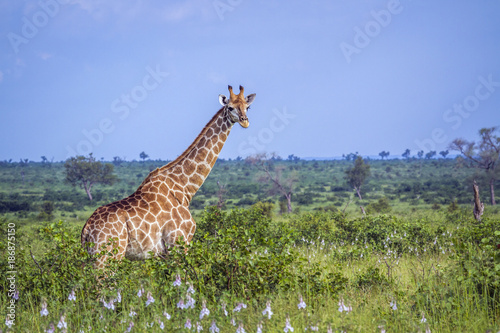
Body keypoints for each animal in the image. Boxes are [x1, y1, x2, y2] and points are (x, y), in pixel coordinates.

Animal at [81, 85, 258, 268]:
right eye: (230, 107)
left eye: (248, 106)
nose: (245, 121)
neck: (185, 186)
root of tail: (86, 229)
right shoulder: (179, 243)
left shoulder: (163, 254)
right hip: (107, 257)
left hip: (93, 258)